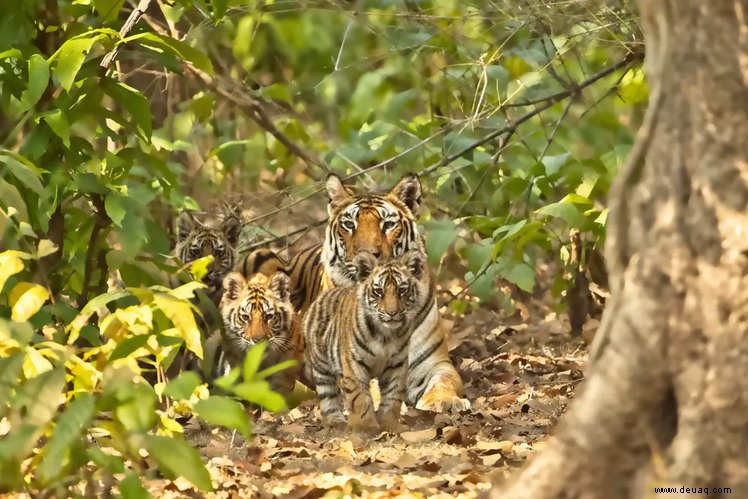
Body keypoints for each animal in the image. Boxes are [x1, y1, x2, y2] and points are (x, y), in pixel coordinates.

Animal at [288, 174, 468, 412]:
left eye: (388, 224)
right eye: (349, 225)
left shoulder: (434, 362)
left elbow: (445, 380)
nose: (366, 253)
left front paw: (444, 401)